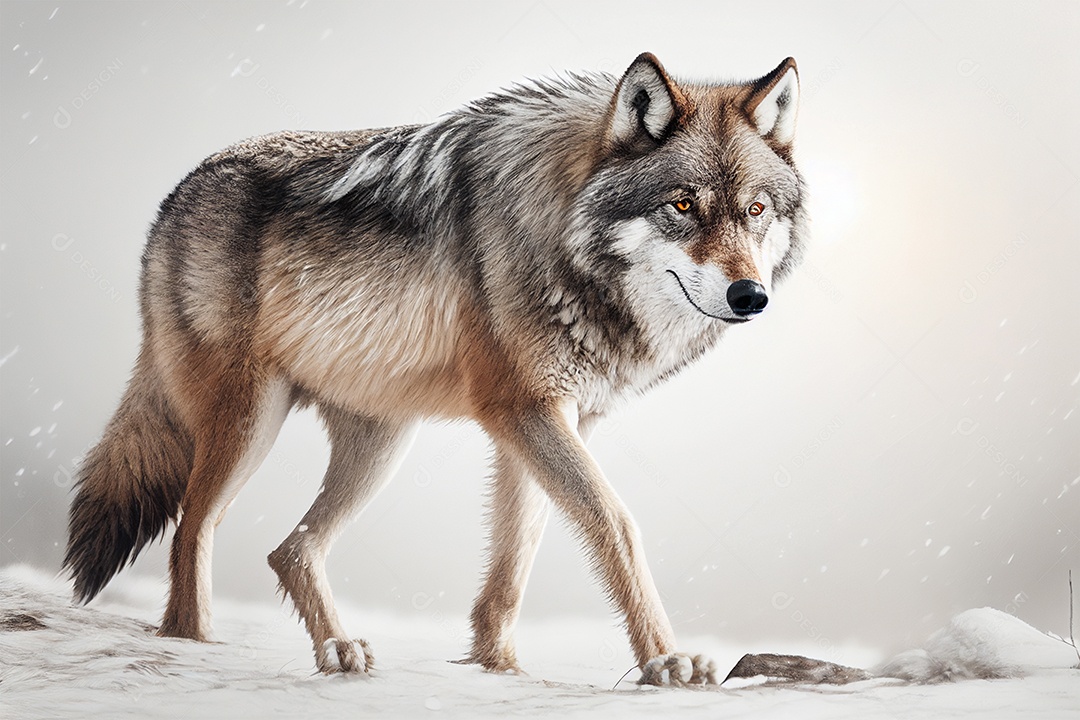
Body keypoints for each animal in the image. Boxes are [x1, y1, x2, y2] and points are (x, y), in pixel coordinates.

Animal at [64, 52, 806, 685]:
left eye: (756, 210)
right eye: (682, 205)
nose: (751, 296)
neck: (559, 231)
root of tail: (179, 191)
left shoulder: (552, 423)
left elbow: (514, 565)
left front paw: (497, 666)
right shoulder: (527, 412)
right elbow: (617, 525)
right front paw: (664, 660)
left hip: (381, 442)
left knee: (289, 548)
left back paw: (338, 649)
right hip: (253, 420)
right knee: (193, 529)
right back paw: (198, 644)